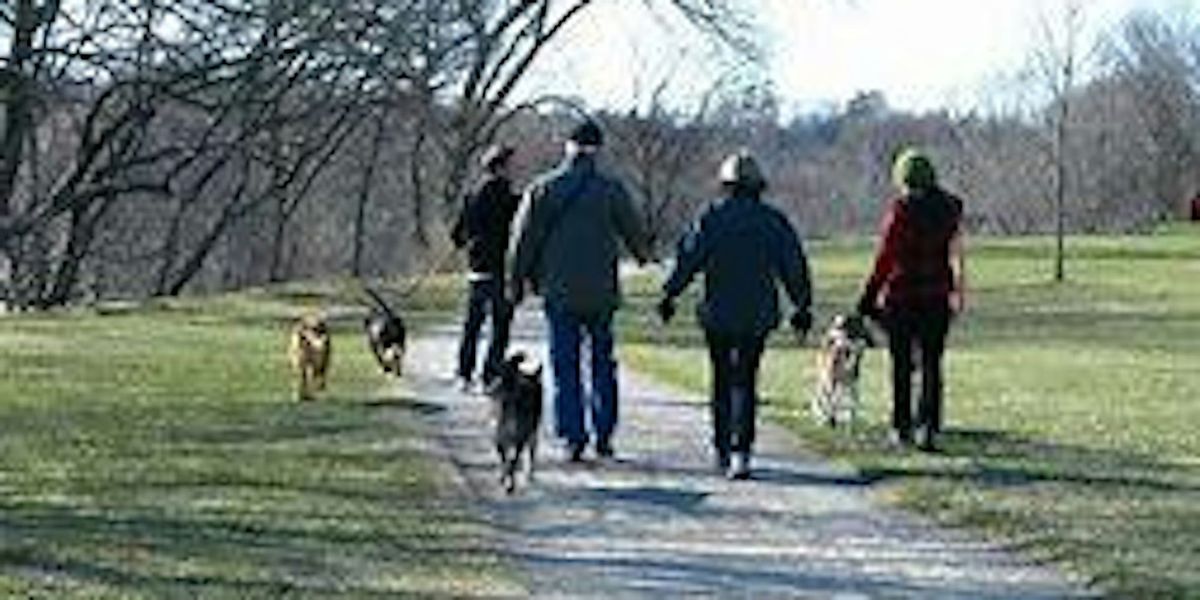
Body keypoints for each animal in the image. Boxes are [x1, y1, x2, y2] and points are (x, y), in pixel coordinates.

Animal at [487, 352, 544, 494]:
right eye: (495, 372)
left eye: (505, 373)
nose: (489, 390)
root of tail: (533, 376)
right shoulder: (501, 437)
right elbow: (504, 457)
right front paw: (504, 479)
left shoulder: (520, 438)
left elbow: (512, 460)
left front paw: (510, 484)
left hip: (533, 430)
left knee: (532, 450)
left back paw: (529, 474)